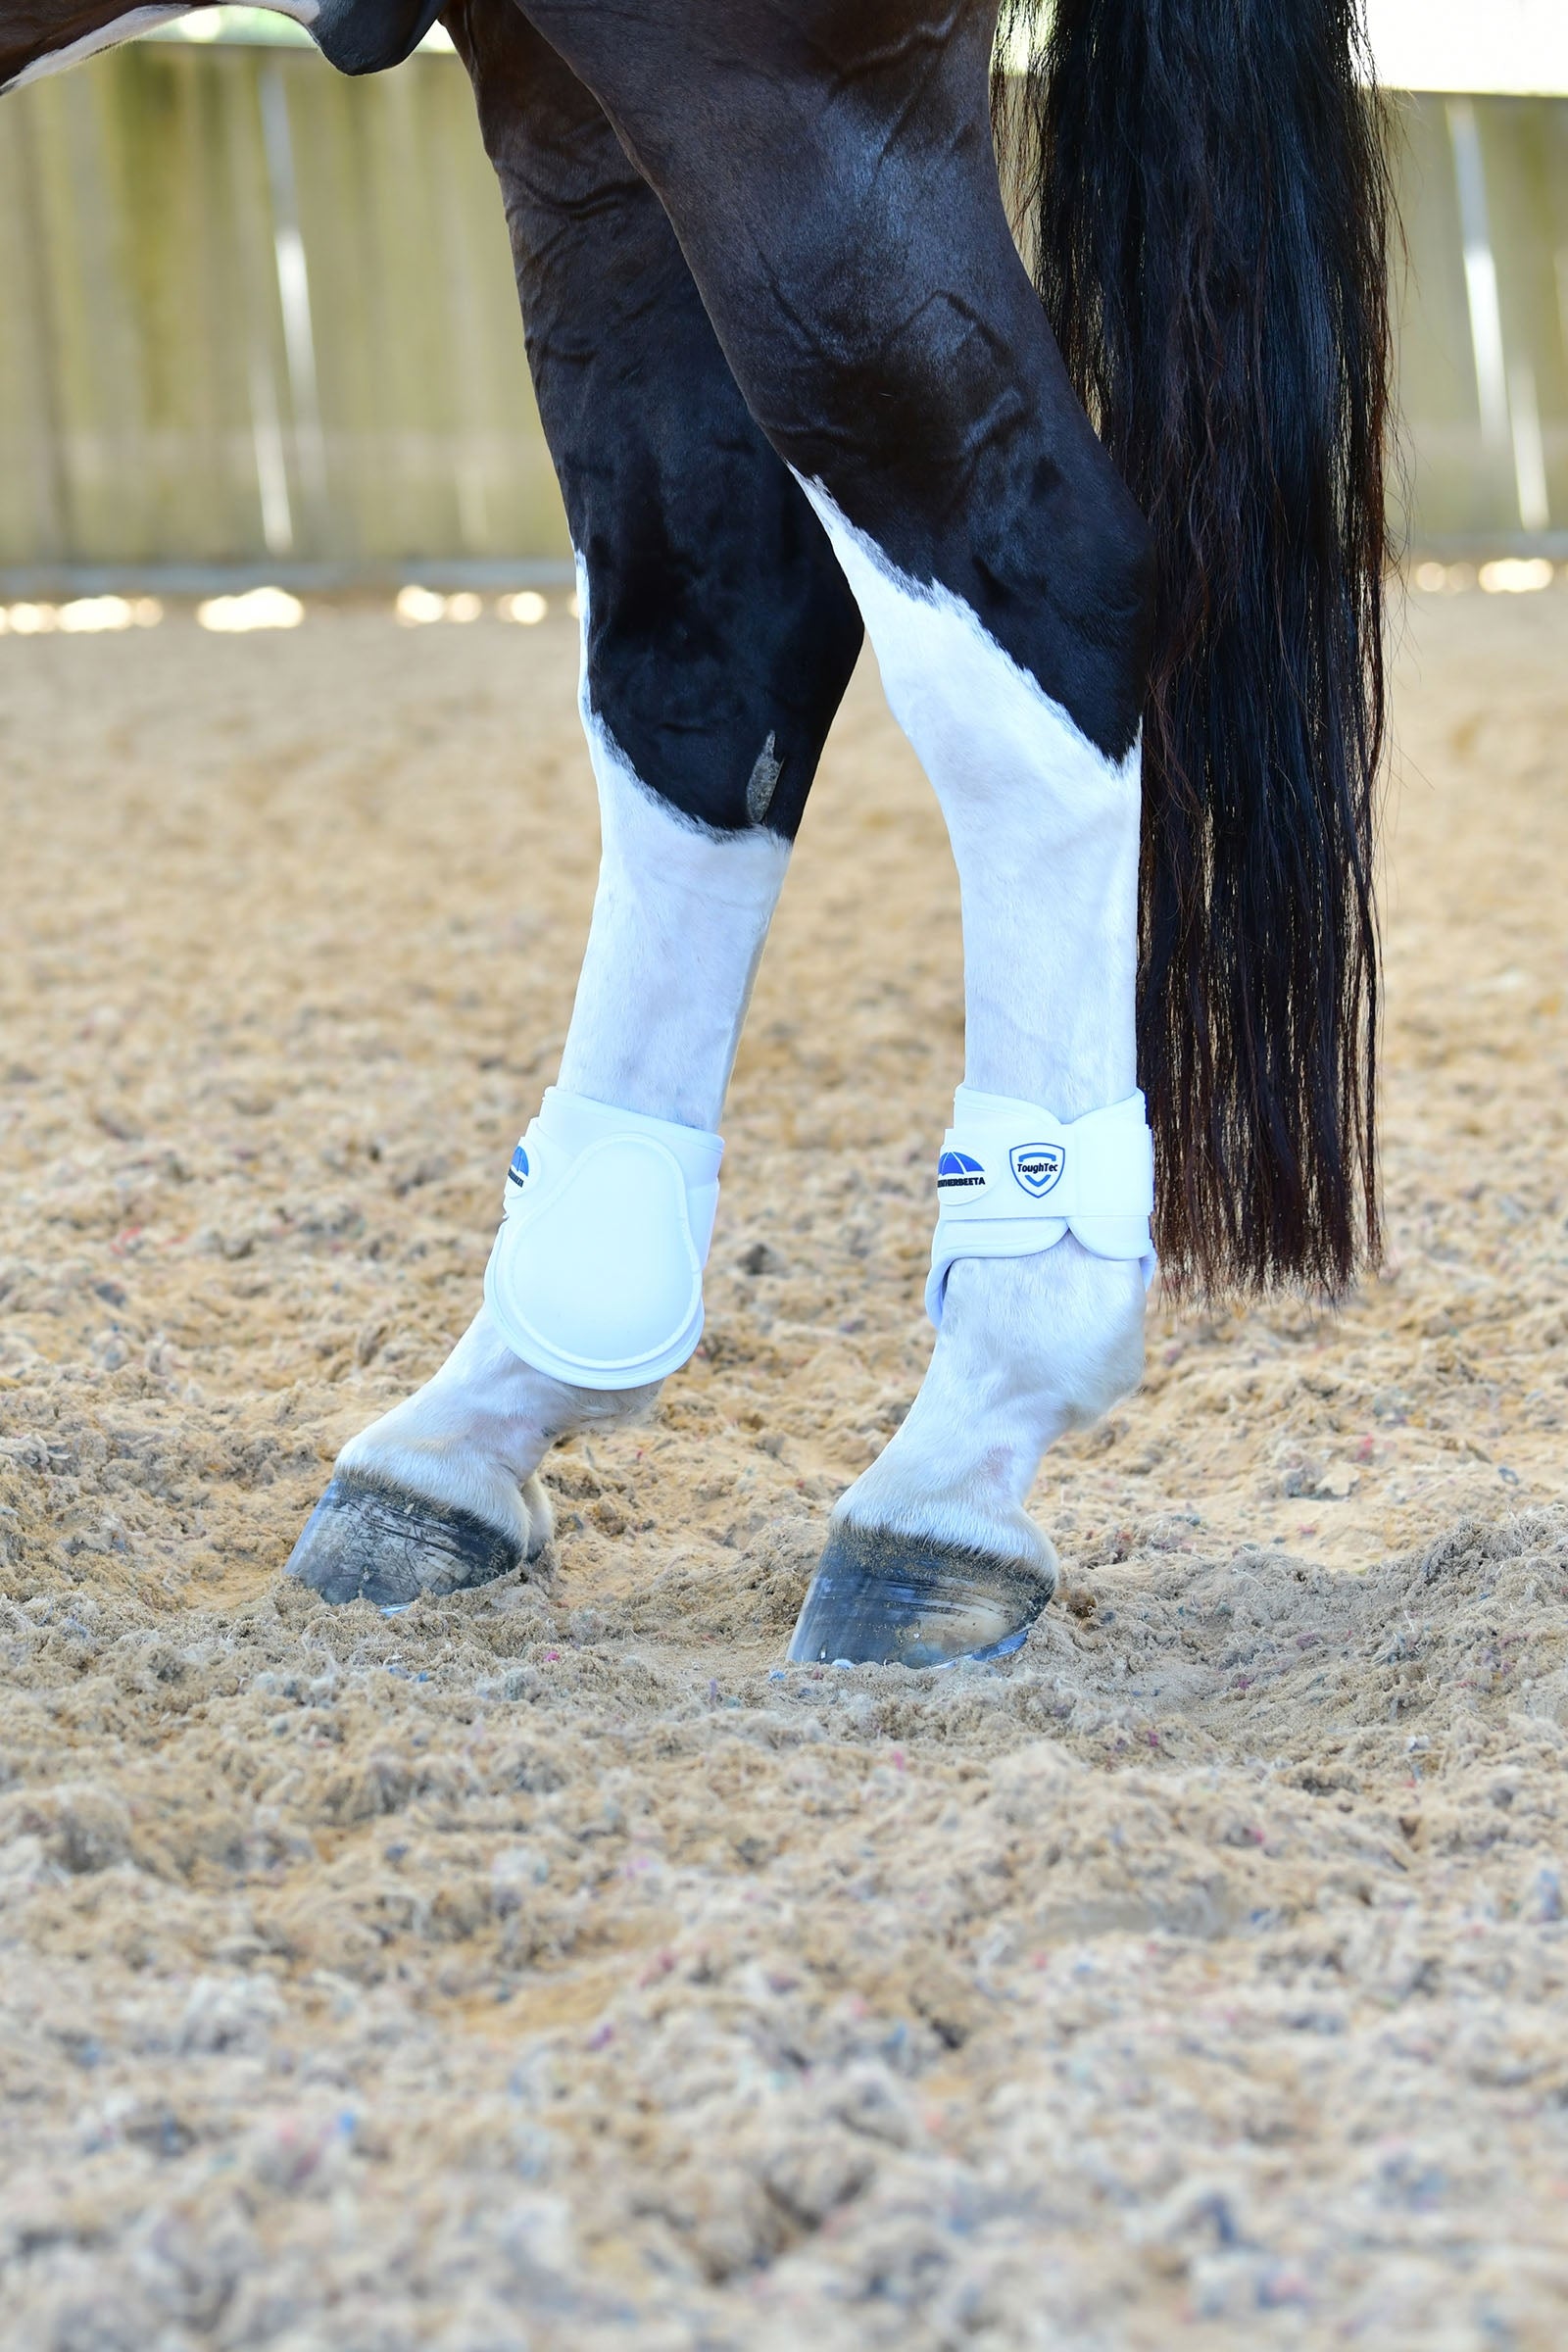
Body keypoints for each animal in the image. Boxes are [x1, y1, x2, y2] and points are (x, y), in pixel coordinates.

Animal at [3, 0, 1391, 1668]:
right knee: (706, 642)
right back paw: (474, 1430)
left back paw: (960, 1454)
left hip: (763, 86)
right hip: (571, 118)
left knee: (1030, 582)